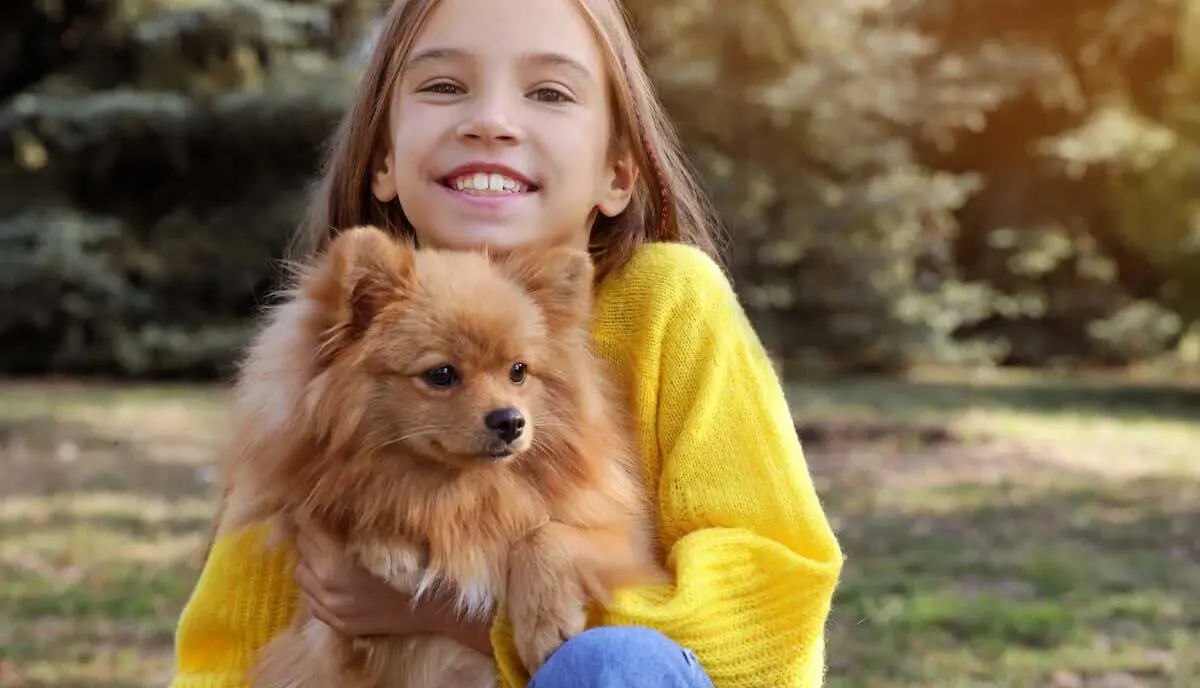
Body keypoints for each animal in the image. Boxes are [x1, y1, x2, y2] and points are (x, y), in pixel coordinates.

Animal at [216, 226, 667, 686]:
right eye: (441, 375)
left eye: (518, 371)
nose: (510, 421)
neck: (460, 493)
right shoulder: (334, 640)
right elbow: (353, 505)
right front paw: (388, 545)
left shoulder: (620, 538)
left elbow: (545, 534)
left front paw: (546, 621)